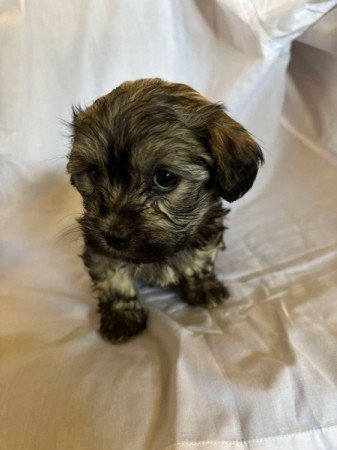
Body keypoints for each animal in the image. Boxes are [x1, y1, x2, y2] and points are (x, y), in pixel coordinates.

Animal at [67, 78, 262, 344]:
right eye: (95, 173)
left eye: (165, 178)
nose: (113, 236)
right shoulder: (98, 247)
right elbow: (112, 278)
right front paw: (122, 314)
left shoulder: (206, 227)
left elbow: (200, 257)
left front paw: (202, 284)